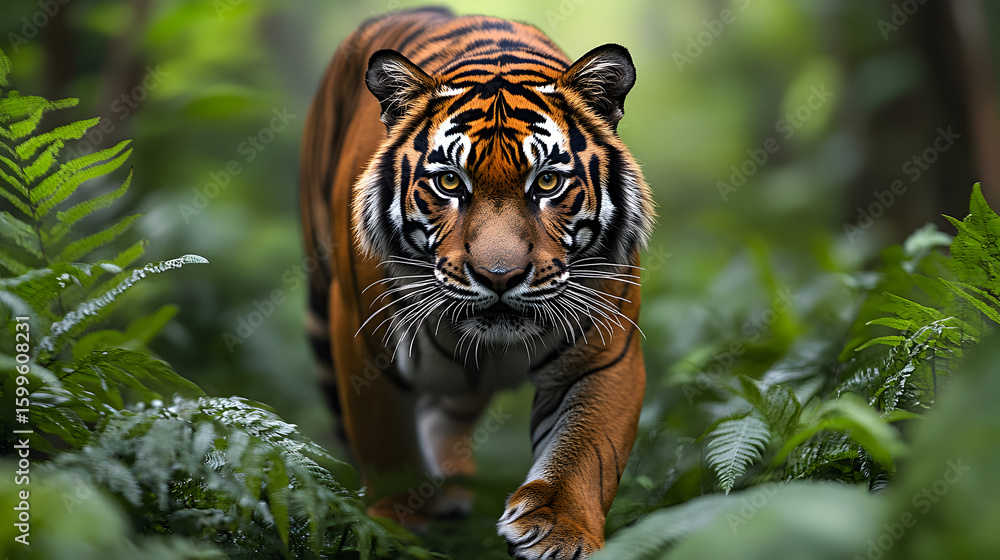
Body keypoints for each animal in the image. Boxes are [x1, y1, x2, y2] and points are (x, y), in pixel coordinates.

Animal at [299, 7, 654, 559]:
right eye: (449, 182)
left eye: (547, 182)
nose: (498, 275)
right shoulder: (364, 341)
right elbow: (385, 441)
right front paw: (398, 525)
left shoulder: (604, 352)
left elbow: (587, 449)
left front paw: (559, 528)